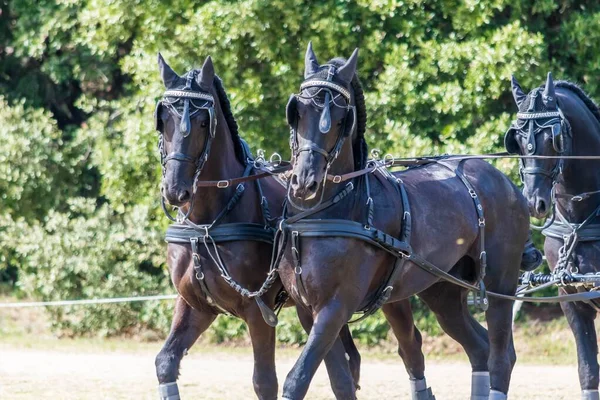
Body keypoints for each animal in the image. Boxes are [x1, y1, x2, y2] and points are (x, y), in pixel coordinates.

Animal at [155, 54, 360, 400]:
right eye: (164, 119)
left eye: (203, 122)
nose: (175, 190)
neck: (208, 222)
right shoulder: (196, 305)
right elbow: (166, 362)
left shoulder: (257, 311)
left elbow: (264, 382)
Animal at [276, 42, 528, 398]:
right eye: (297, 111)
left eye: (340, 119)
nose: (304, 183)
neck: (322, 215)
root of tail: (506, 182)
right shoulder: (307, 310)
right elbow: (339, 380)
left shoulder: (335, 307)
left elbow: (297, 379)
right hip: (442, 290)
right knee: (479, 347)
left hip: (499, 283)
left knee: (501, 355)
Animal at [506, 74, 600, 400]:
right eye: (517, 140)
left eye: (553, 139)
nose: (533, 202)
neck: (578, 221)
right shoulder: (570, 297)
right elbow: (588, 371)